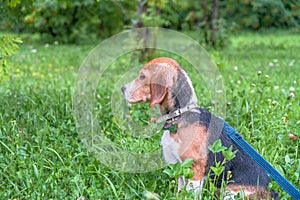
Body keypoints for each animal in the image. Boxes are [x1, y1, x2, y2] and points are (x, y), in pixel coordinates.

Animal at [120, 57, 278, 199]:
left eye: (142, 76)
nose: (122, 88)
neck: (180, 114)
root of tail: (271, 193)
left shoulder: (195, 171)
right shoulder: (180, 168)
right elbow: (180, 191)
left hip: (230, 193)